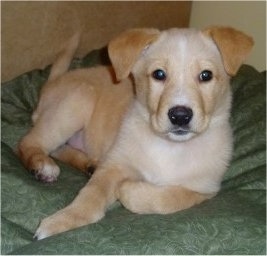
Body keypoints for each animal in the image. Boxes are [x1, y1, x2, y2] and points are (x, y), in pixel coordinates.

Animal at [17, 26, 254, 238]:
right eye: (159, 74)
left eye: (206, 75)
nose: (180, 116)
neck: (170, 147)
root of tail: (54, 81)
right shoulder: (115, 165)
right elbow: (90, 195)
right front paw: (63, 220)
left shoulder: (205, 189)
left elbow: (167, 199)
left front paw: (128, 189)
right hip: (75, 103)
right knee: (29, 142)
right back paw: (43, 165)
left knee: (58, 149)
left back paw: (89, 164)